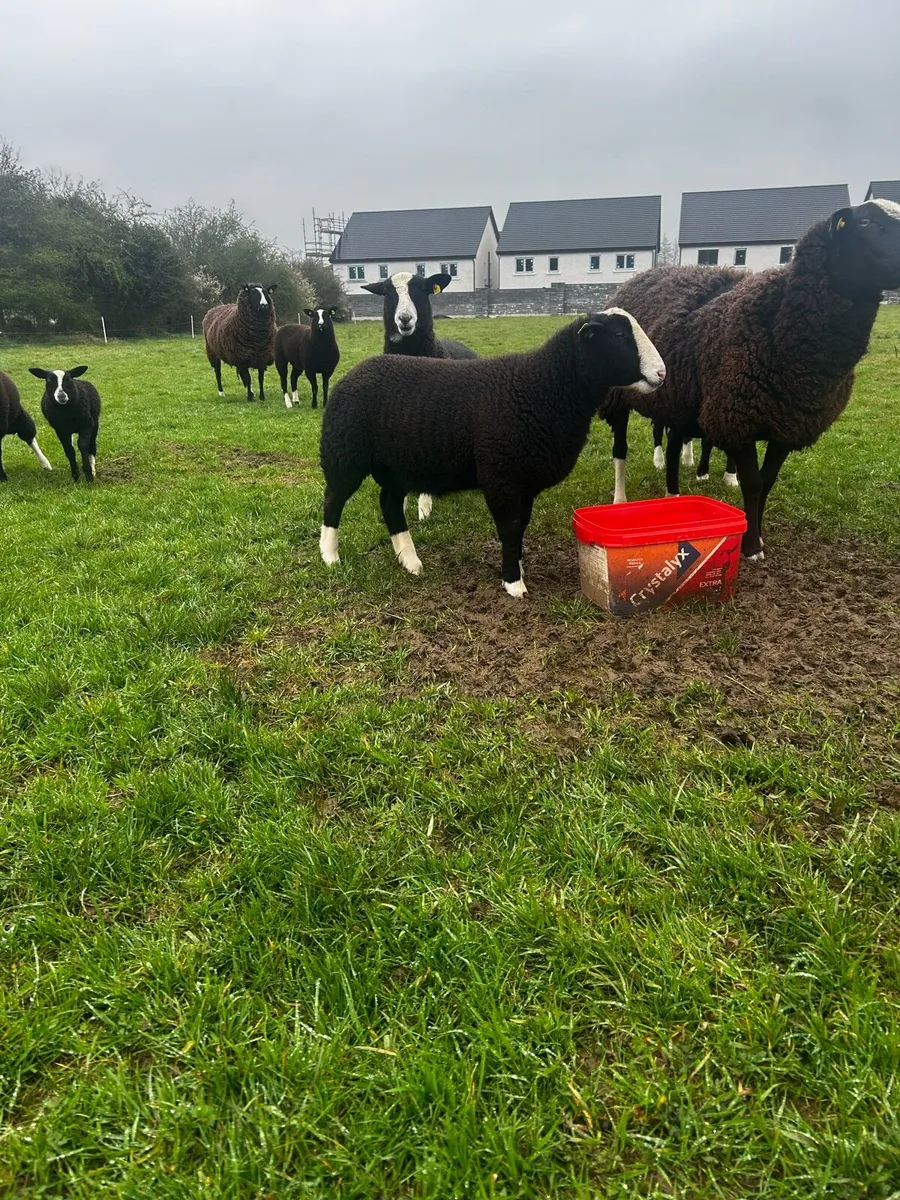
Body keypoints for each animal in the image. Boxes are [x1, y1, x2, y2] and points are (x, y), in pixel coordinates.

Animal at [318, 309, 665, 597]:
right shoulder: (501, 476)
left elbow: (521, 526)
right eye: (618, 335)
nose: (662, 373)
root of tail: (351, 374)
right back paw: (330, 556)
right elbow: (509, 528)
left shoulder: (525, 482)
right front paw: (513, 583)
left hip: (396, 466)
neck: (542, 389)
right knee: (334, 500)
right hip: (343, 453)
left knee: (389, 504)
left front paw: (518, 567)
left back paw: (410, 561)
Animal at [606, 199, 900, 559]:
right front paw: (750, 547)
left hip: (679, 397)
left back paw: (673, 494)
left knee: (674, 442)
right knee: (621, 449)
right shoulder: (736, 418)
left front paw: (757, 536)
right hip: (619, 397)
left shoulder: (787, 426)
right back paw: (621, 499)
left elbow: (767, 481)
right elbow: (753, 483)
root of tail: (639, 277)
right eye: (866, 222)